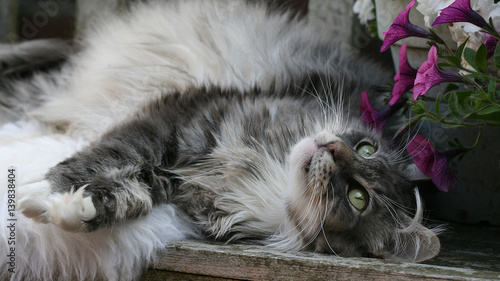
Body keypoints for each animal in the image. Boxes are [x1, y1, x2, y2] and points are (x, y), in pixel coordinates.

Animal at [0, 0, 440, 280]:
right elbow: (102, 156)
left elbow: (130, 196)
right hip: (53, 88)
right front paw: (39, 189)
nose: (332, 148)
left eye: (357, 197)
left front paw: (73, 209)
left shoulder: (181, 184)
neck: (272, 184)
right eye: (366, 148)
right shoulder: (180, 118)